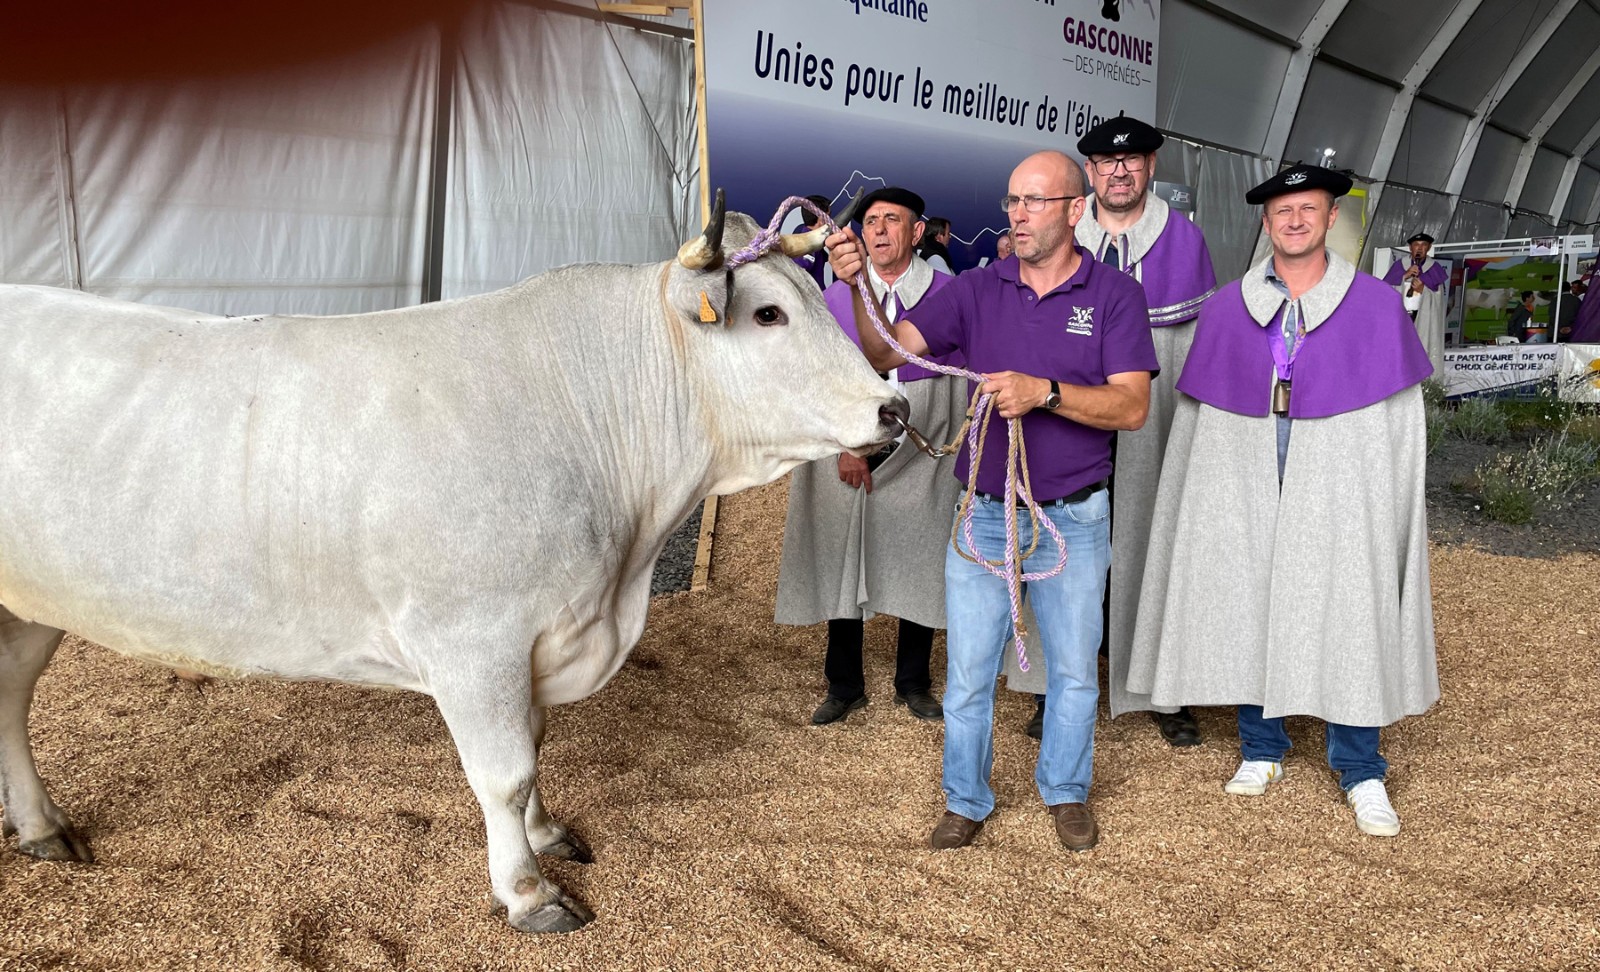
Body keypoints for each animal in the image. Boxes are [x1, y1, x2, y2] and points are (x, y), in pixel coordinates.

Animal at [0, 193, 902, 927]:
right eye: (769, 315)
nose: (893, 408)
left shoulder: (535, 637)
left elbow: (535, 746)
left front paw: (546, 834)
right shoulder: (474, 638)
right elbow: (504, 771)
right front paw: (529, 892)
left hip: (32, 602)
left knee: (10, 691)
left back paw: (40, 826)